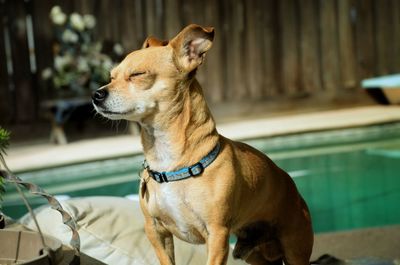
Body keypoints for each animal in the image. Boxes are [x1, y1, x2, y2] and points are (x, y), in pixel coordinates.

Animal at [93, 23, 312, 262]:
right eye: (111, 77)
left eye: (138, 74)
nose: (96, 94)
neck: (168, 160)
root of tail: (293, 189)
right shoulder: (155, 231)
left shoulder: (216, 235)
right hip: (254, 255)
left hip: (295, 249)